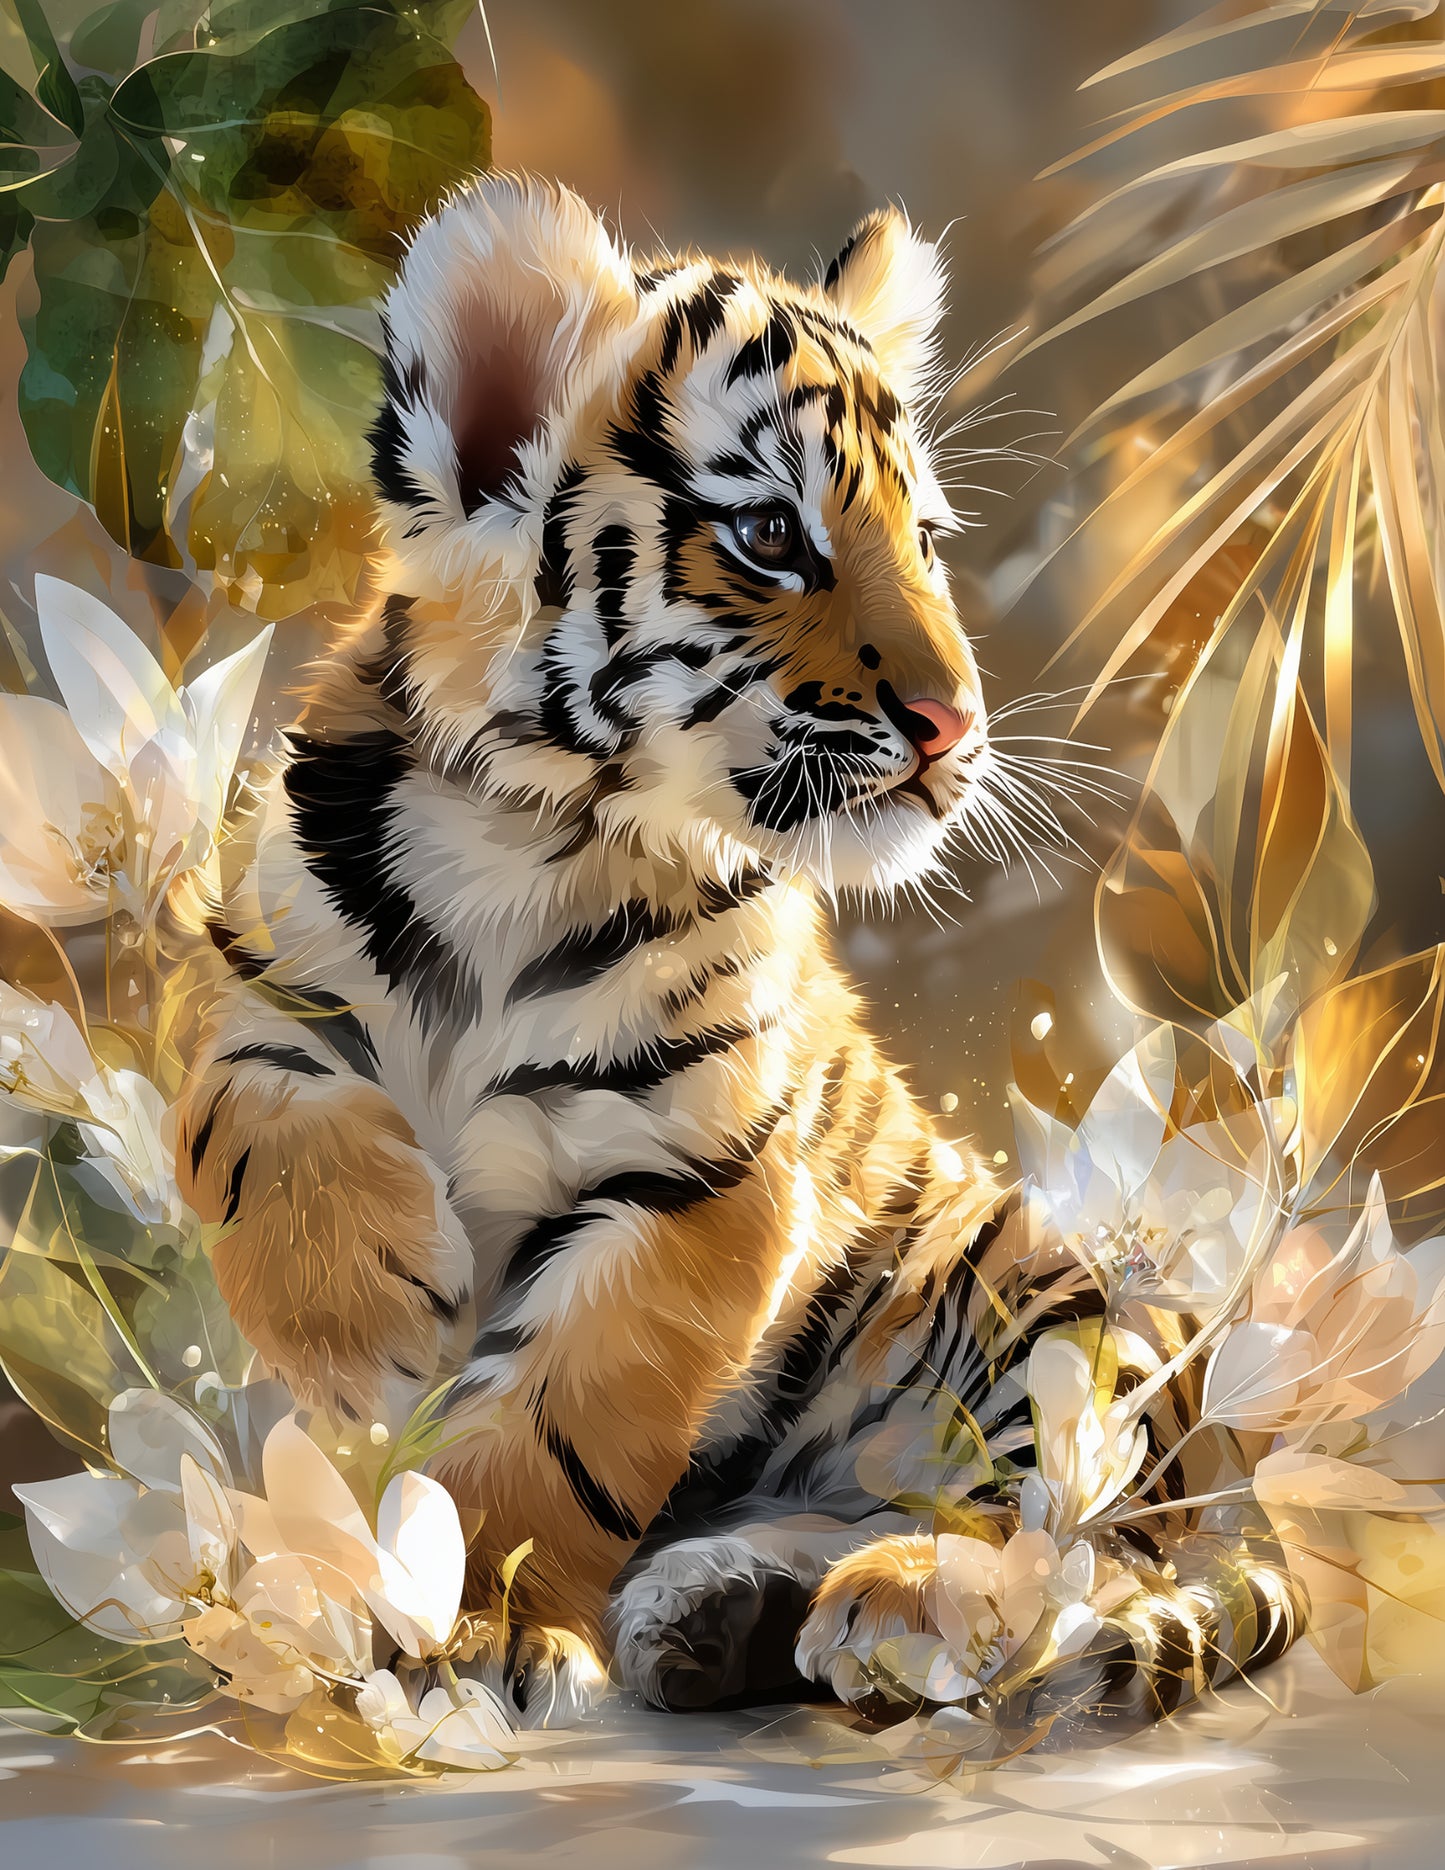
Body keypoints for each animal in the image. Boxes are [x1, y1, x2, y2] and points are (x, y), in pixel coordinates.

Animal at [176, 173, 1300, 1729]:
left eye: (925, 539)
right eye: (772, 533)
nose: (958, 723)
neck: (520, 837)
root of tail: (1226, 1469)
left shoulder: (705, 1171)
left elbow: (565, 1410)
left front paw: (474, 1624)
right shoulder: (254, 995)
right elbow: (259, 1136)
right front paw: (374, 1331)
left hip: (1055, 1316)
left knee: (1064, 1546)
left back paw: (896, 1609)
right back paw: (722, 1609)